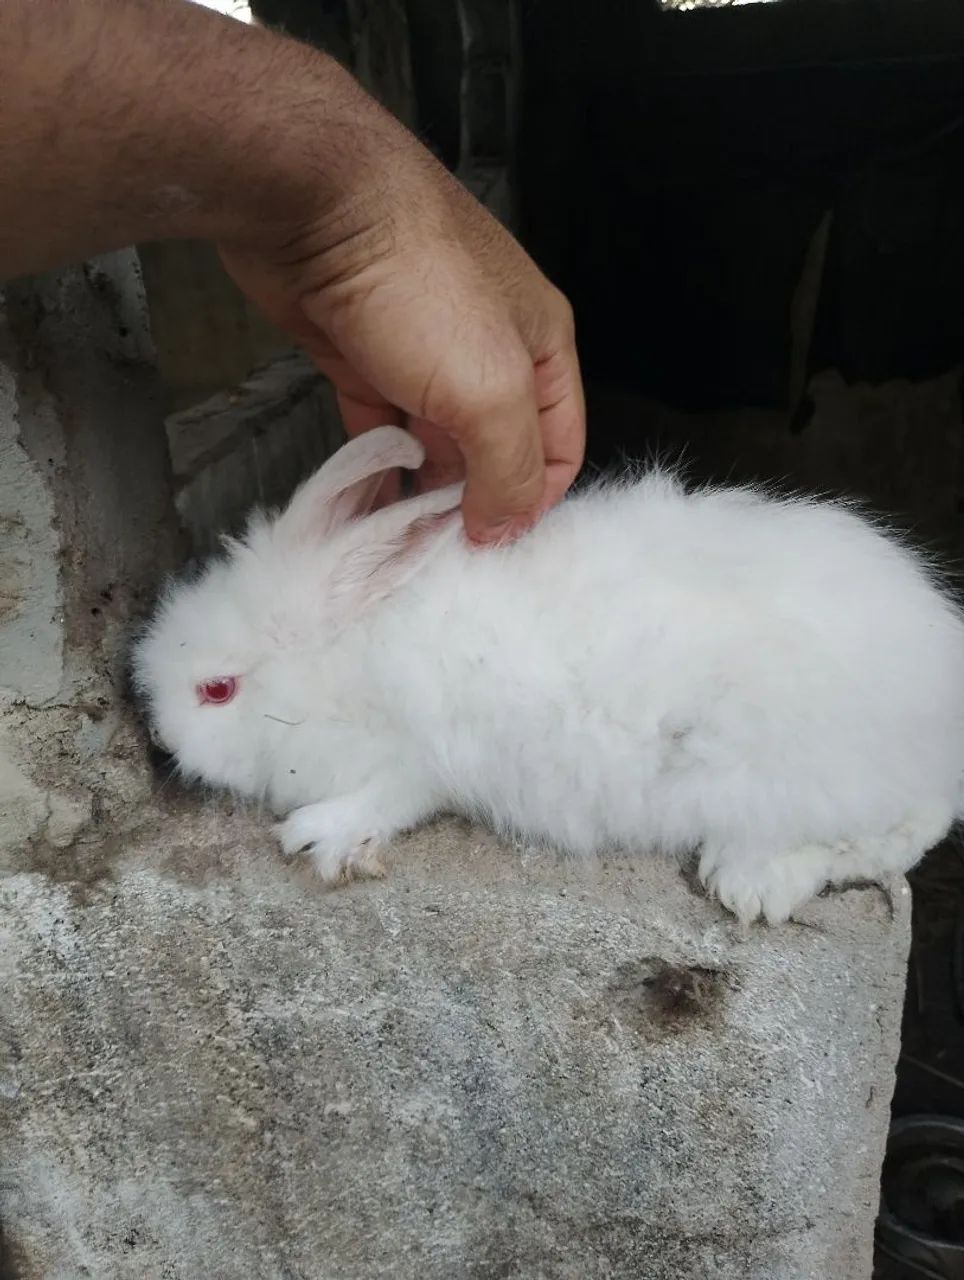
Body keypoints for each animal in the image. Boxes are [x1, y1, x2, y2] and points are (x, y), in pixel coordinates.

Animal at [132, 425, 964, 924]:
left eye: (217, 690)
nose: (161, 741)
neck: (341, 660)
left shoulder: (414, 760)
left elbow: (383, 800)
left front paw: (316, 838)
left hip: (793, 774)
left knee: (900, 831)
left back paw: (750, 882)